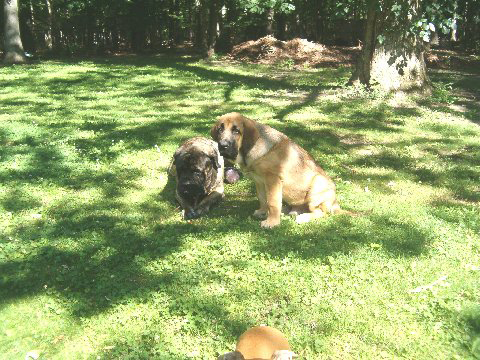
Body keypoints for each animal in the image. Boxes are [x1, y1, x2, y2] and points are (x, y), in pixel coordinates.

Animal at [211, 112, 344, 228]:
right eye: (220, 129)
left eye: (236, 131)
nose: (222, 145)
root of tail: (336, 204)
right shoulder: (259, 180)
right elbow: (263, 199)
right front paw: (263, 212)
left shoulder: (273, 179)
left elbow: (272, 202)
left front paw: (272, 222)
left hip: (318, 183)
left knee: (322, 212)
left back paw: (303, 217)